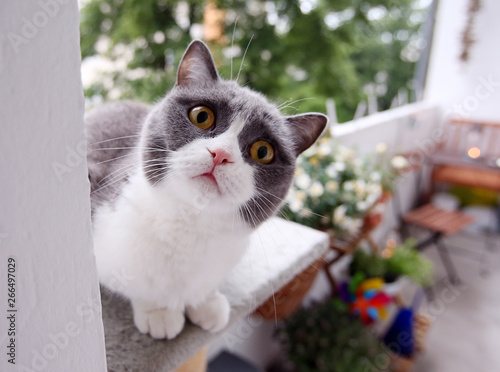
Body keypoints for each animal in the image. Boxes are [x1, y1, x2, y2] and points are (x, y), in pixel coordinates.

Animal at [86, 39, 328, 338]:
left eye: (263, 151)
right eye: (201, 116)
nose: (220, 154)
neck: (191, 223)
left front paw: (206, 303)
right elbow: (138, 286)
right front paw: (158, 312)